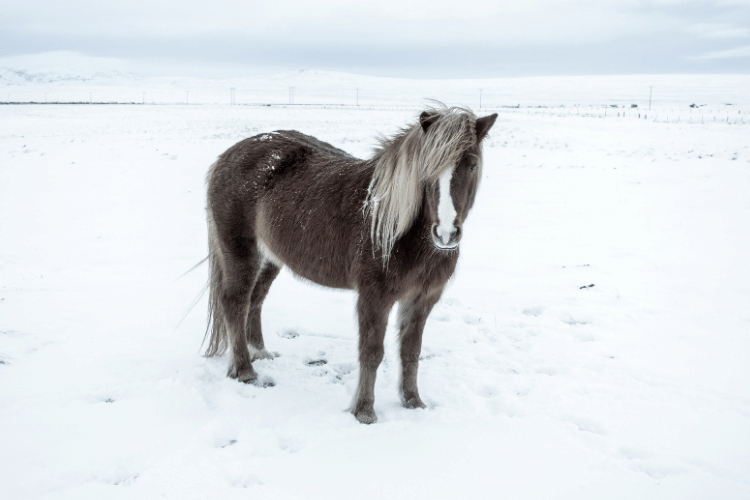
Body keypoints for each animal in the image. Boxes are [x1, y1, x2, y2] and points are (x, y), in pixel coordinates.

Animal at [206, 104, 500, 422]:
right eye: (426, 168)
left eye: (472, 165)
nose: (445, 233)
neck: (400, 230)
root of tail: (228, 155)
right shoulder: (374, 297)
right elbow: (371, 352)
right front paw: (365, 411)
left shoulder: (423, 299)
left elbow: (411, 351)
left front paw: (413, 402)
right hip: (241, 253)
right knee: (235, 302)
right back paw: (245, 370)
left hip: (270, 257)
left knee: (255, 299)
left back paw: (260, 352)